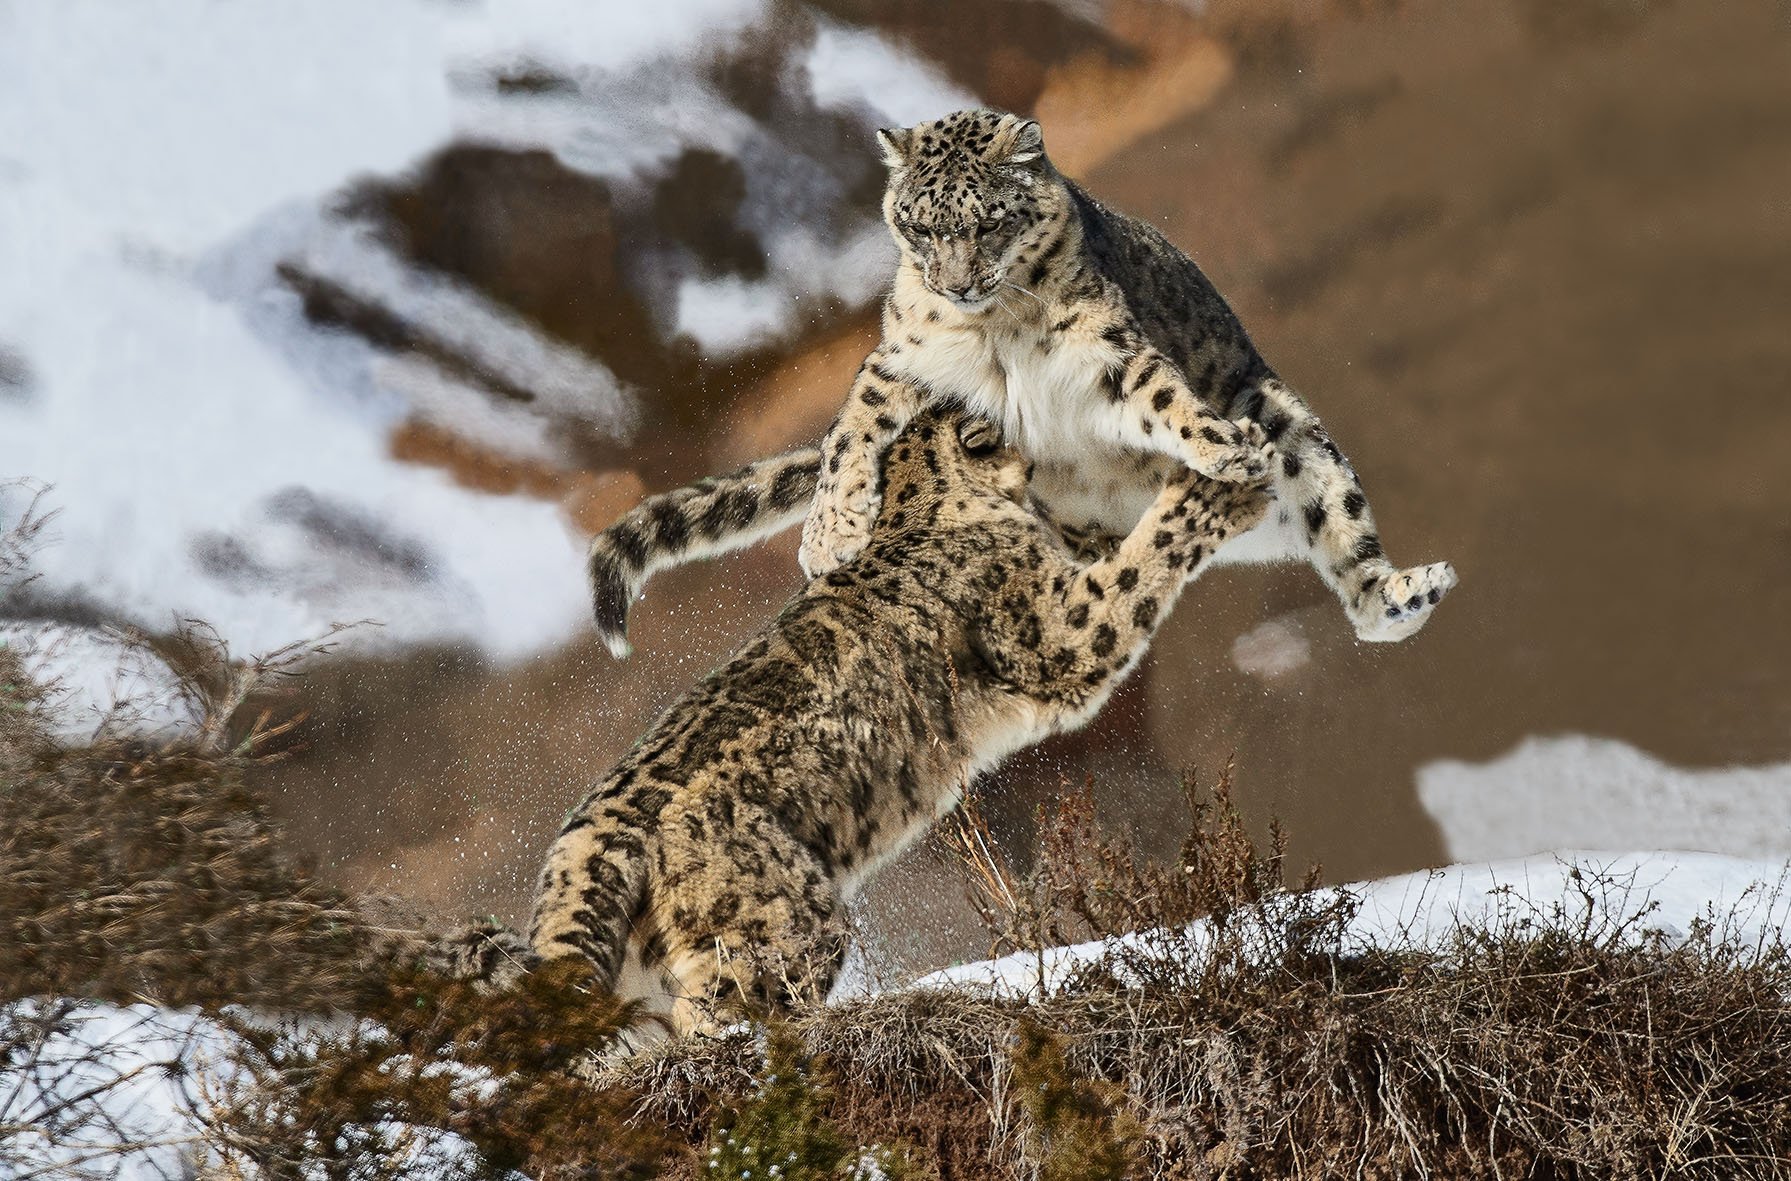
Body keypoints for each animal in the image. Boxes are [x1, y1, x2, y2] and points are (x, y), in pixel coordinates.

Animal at [530, 406, 1275, 1032]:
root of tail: (590, 832)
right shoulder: (1052, 631)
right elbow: (1135, 569)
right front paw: (1218, 491)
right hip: (785, 923)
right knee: (716, 1016)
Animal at [587, 108, 1454, 666]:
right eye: (920, 224)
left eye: (987, 221)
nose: (955, 283)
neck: (993, 329)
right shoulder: (901, 362)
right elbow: (848, 431)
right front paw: (830, 531)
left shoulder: (1109, 352)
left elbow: (1165, 398)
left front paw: (1221, 447)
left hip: (1293, 429)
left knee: (1349, 564)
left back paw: (1403, 590)